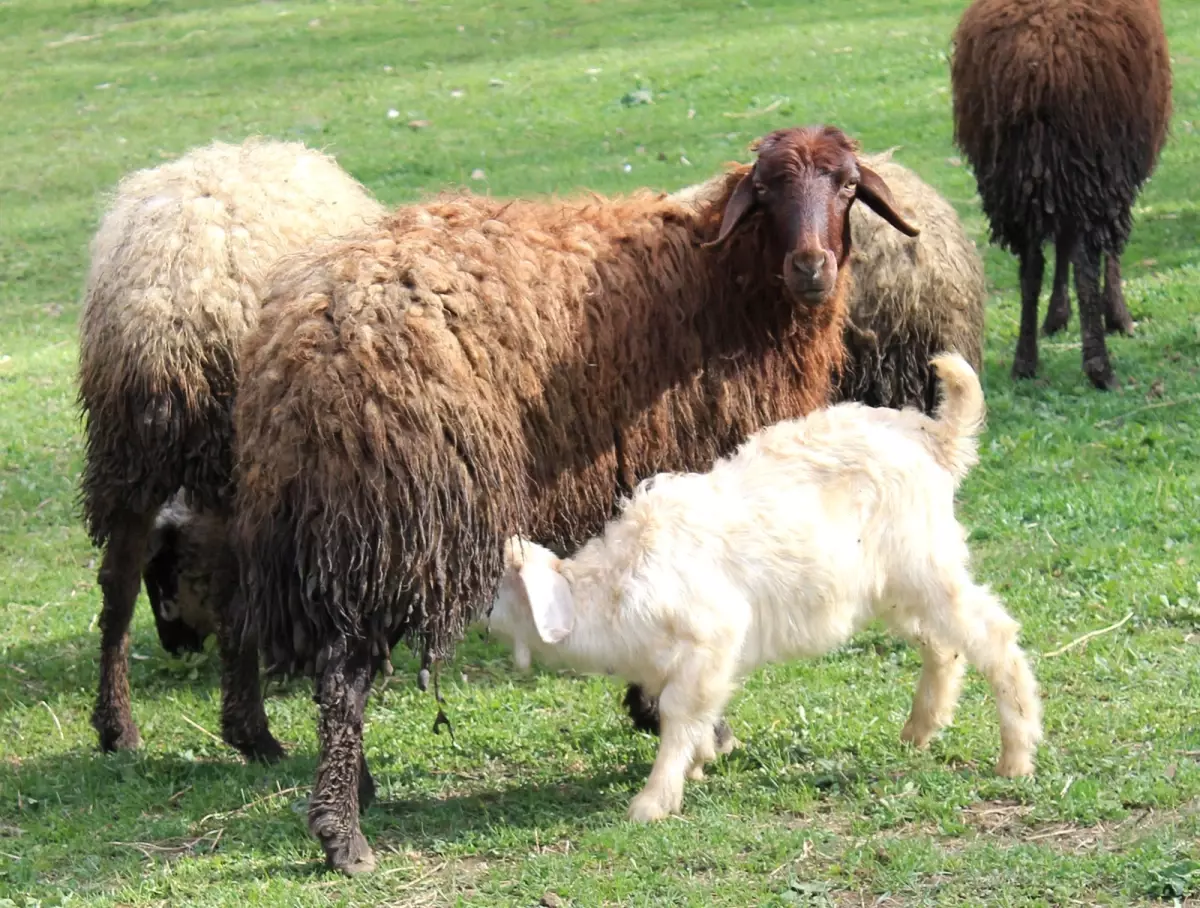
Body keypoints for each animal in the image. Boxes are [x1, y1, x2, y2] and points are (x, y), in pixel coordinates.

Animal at [226, 124, 916, 873]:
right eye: (765, 189)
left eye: (847, 186)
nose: (811, 268)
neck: (724, 281)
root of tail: (309, 343)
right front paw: (683, 721)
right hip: (404, 517)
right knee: (343, 676)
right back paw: (342, 833)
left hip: (315, 523)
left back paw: (354, 790)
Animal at [945, 0, 1171, 386]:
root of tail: (1039, 57)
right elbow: (1104, 253)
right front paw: (1117, 316)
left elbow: (1060, 245)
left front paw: (1057, 315)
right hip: (1095, 159)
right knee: (1087, 259)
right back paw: (1099, 367)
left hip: (1012, 174)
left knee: (1031, 264)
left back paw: (1025, 361)